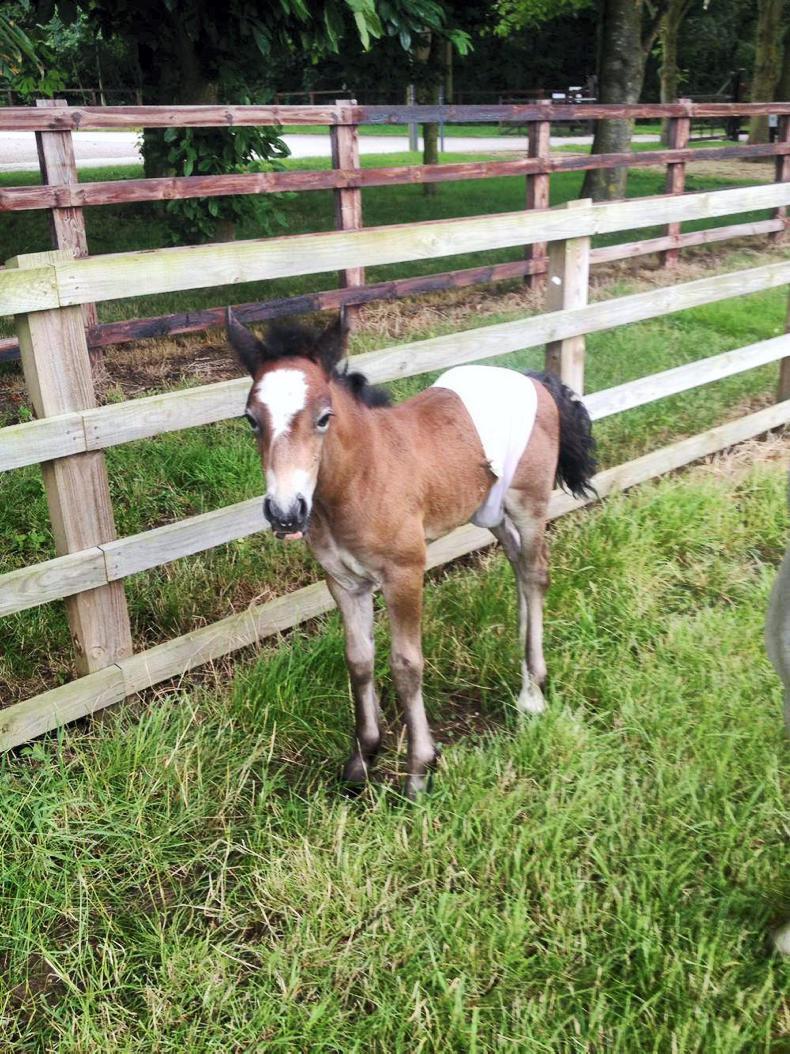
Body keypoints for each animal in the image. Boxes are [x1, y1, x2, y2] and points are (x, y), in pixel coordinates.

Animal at [227, 310, 596, 798]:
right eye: (251, 419)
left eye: (324, 417)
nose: (286, 512)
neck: (362, 477)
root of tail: (535, 380)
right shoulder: (343, 581)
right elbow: (359, 660)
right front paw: (362, 759)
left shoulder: (405, 573)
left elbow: (406, 665)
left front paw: (420, 769)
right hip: (490, 510)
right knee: (518, 566)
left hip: (528, 503)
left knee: (536, 573)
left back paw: (532, 691)